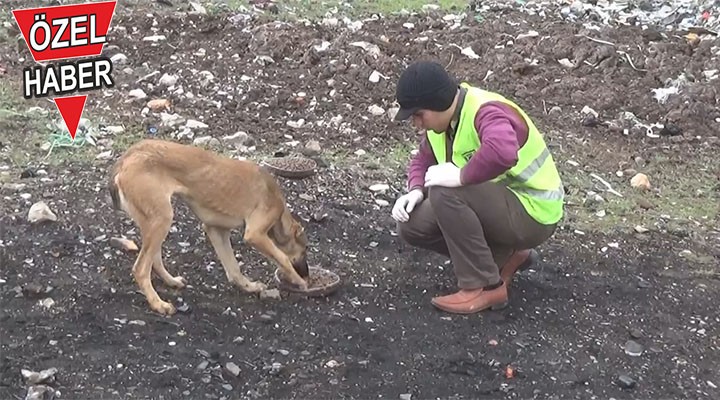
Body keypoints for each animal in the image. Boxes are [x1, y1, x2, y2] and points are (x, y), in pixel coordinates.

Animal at [107, 139, 310, 314]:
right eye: (305, 249)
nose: (307, 274)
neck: (279, 208)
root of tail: (125, 159)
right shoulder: (254, 234)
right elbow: (282, 258)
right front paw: (299, 281)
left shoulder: (216, 230)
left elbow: (233, 268)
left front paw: (249, 287)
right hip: (161, 218)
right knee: (141, 269)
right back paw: (158, 304)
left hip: (154, 222)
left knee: (154, 261)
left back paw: (171, 282)